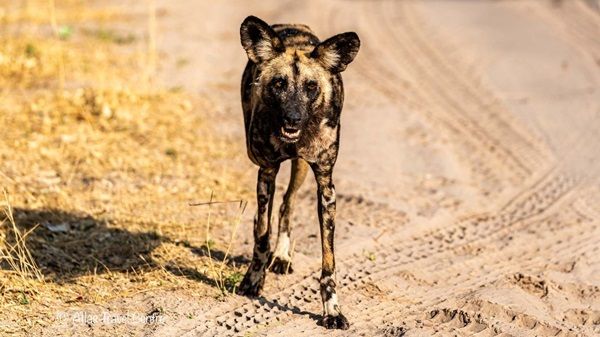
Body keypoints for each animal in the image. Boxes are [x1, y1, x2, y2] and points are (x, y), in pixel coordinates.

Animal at [238, 15, 360, 328]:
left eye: (311, 87)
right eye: (279, 84)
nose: (293, 118)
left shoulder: (326, 187)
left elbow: (328, 262)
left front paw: (332, 311)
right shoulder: (266, 171)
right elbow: (261, 236)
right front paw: (253, 280)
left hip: (302, 167)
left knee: (287, 204)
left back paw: (282, 255)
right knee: (268, 215)